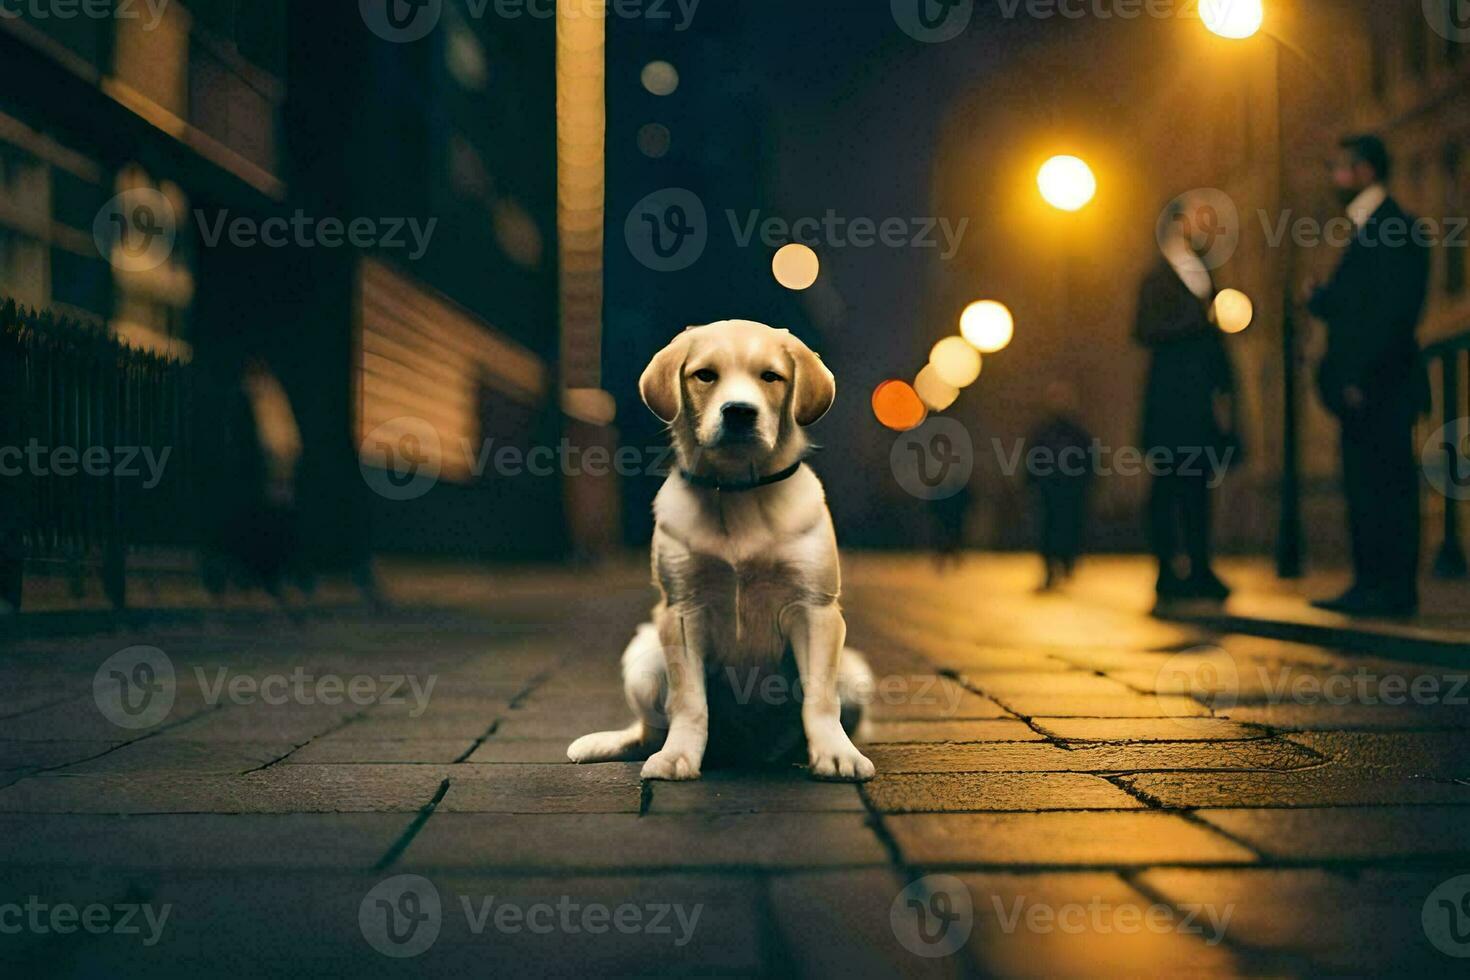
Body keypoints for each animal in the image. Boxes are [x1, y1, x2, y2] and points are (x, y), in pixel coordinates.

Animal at [564, 321, 870, 781]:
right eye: (705, 375)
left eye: (771, 377)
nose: (739, 412)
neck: (737, 489)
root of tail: (747, 752)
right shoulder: (682, 611)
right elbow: (689, 701)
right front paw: (678, 757)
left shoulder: (815, 609)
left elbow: (819, 698)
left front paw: (836, 754)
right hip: (643, 655)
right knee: (649, 730)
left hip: (854, 673)